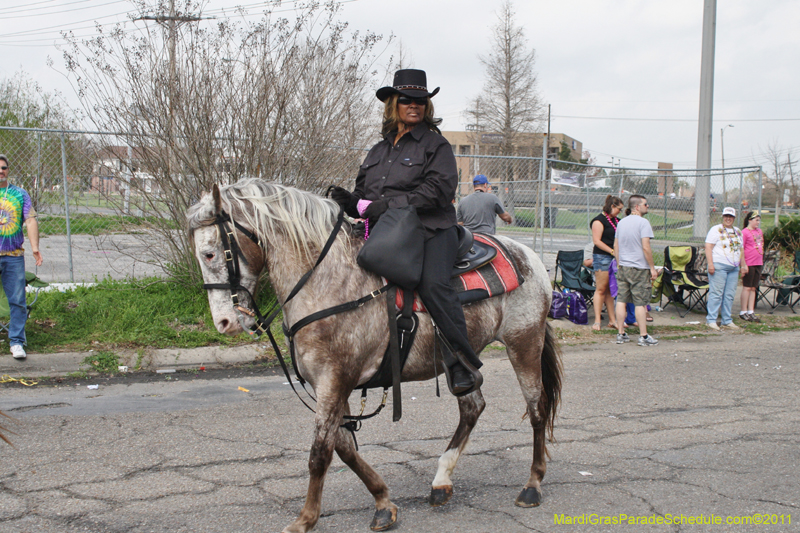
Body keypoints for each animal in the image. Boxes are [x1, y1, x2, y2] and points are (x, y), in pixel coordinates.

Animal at [188, 179, 564, 532]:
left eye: (210, 254)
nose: (224, 323)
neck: (328, 280)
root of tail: (529, 256)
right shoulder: (331, 385)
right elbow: (344, 448)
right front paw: (383, 502)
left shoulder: (335, 379)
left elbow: (320, 452)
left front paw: (306, 518)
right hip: (463, 358)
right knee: (473, 406)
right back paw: (441, 481)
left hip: (523, 342)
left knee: (536, 408)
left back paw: (532, 484)